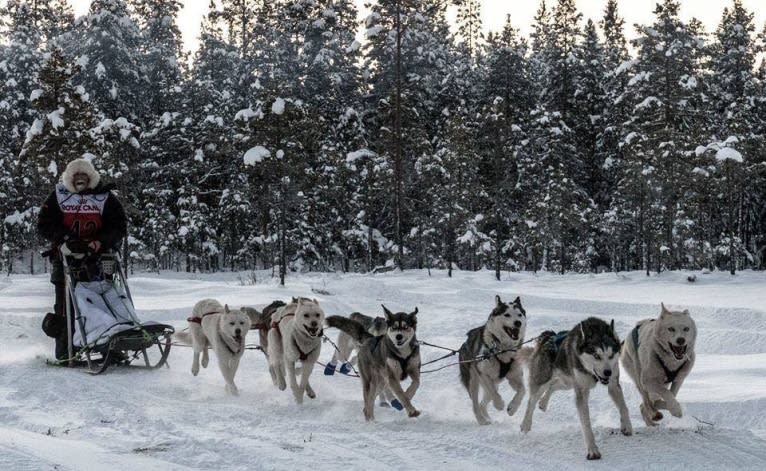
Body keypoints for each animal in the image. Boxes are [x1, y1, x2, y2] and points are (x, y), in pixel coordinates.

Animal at [462, 296, 528, 426]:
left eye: (519, 314)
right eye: (507, 314)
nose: (518, 323)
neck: (504, 350)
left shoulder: (515, 376)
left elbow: (522, 391)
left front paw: (513, 408)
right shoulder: (483, 373)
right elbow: (493, 392)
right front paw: (499, 404)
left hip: (493, 383)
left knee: (482, 403)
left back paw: (488, 418)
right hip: (473, 382)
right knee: (476, 404)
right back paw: (482, 420)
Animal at [520, 318, 636, 460]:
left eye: (610, 355)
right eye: (596, 355)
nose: (607, 372)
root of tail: (548, 336)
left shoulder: (613, 384)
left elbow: (623, 407)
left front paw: (627, 426)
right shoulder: (582, 392)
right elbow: (586, 424)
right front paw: (592, 450)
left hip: (567, 383)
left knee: (553, 385)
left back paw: (543, 403)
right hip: (543, 379)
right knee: (531, 401)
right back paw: (525, 424)